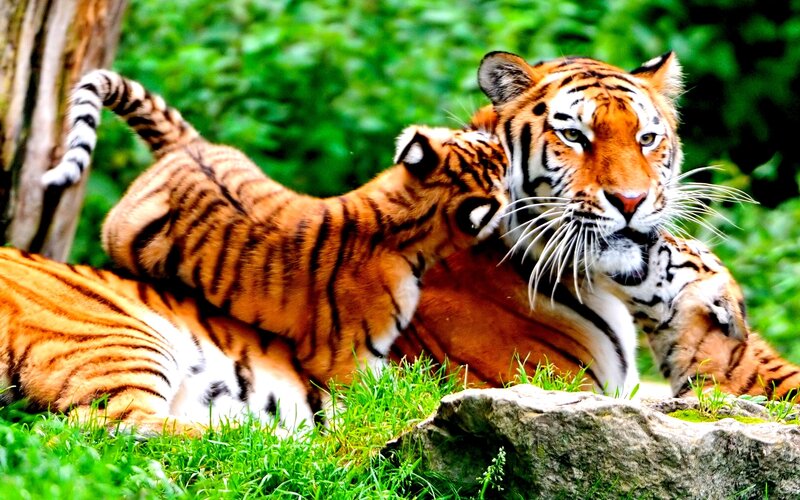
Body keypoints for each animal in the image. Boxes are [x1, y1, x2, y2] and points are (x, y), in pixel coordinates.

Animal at [43, 70, 509, 385]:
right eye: (496, 159)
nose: (496, 132)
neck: (401, 214)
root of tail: (188, 147)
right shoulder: (347, 357)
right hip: (121, 239)